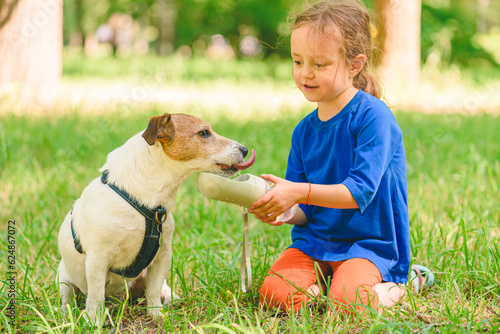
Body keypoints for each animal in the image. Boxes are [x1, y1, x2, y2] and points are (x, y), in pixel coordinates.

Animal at [56, 113, 256, 322]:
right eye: (204, 133)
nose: (245, 150)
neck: (146, 200)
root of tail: (119, 298)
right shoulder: (97, 258)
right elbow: (95, 296)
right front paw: (94, 320)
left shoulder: (163, 255)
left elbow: (153, 289)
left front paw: (156, 314)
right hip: (63, 279)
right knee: (69, 298)